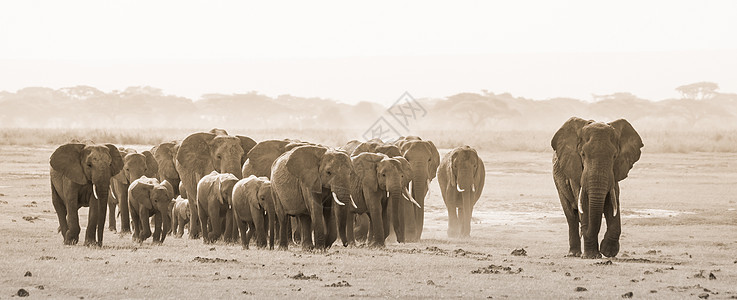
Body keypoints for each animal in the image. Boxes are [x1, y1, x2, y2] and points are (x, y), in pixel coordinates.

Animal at [548, 117, 640, 258]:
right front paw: (592, 255)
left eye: (614, 156)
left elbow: (612, 203)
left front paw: (607, 251)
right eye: (583, 154)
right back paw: (574, 254)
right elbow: (584, 204)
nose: (585, 230)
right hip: (558, 183)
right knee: (571, 216)